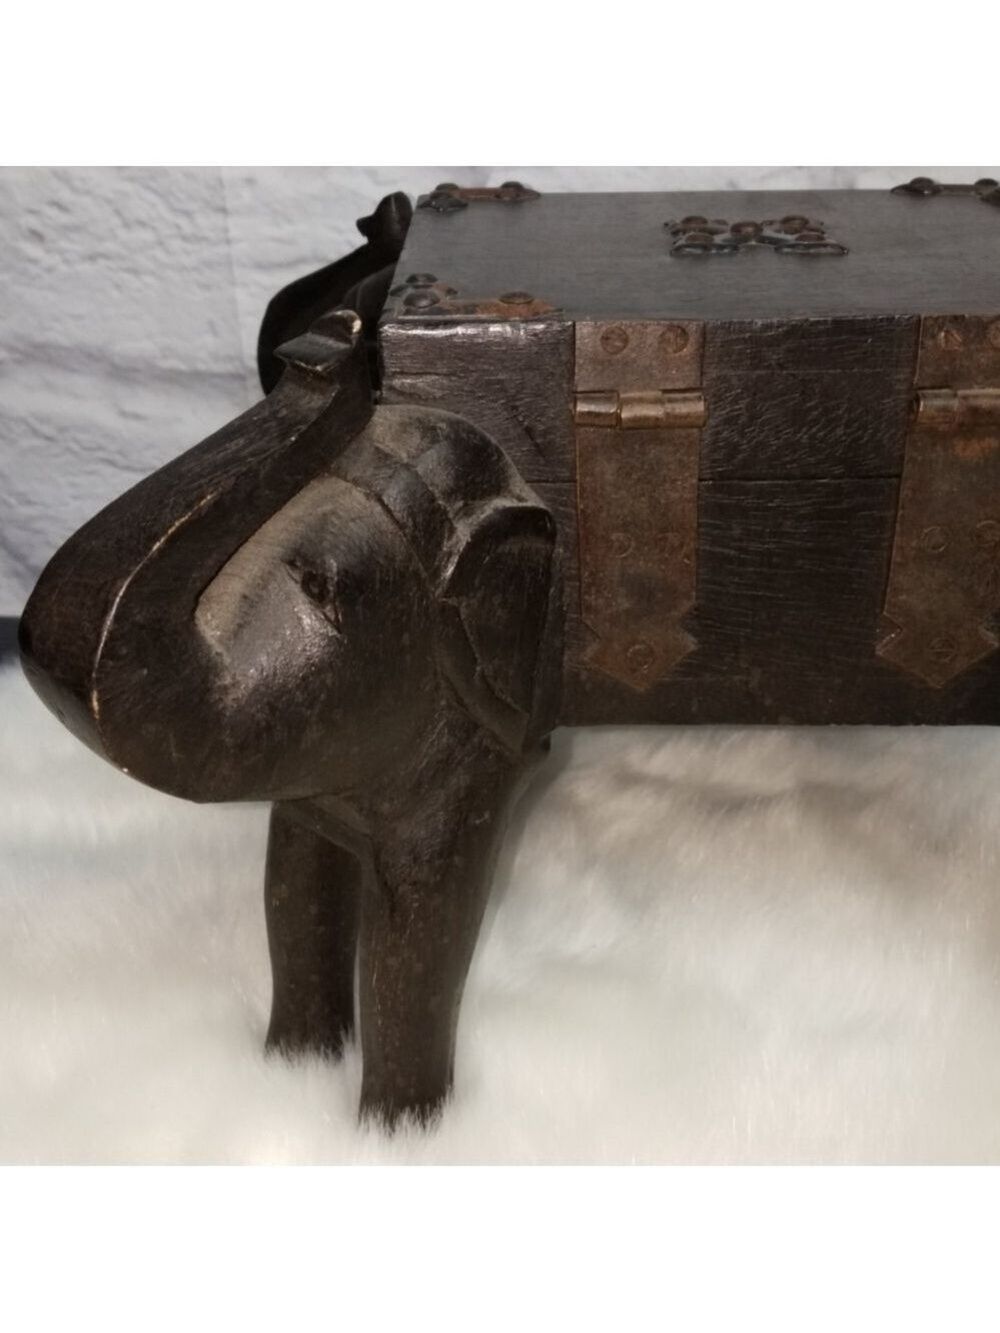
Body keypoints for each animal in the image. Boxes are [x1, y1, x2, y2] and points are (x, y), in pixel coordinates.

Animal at [19, 303, 562, 1127]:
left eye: (320, 590)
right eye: (245, 559)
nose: (330, 339)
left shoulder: (476, 766)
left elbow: (419, 941)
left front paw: (396, 1133)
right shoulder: (314, 784)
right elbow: (292, 891)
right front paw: (291, 1070)